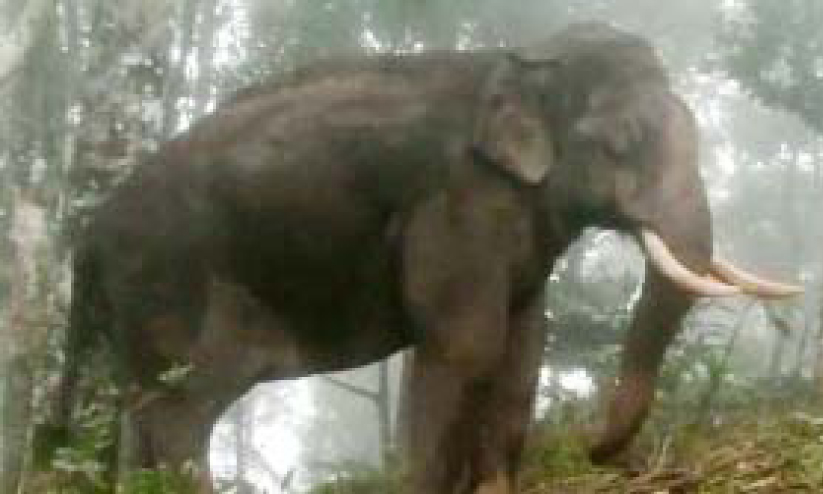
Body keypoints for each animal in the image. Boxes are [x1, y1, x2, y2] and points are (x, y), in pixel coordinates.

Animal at [56, 22, 799, 493]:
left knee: (141, 411)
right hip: (169, 286)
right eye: (620, 142)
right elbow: (466, 343)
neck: (517, 58)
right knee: (183, 412)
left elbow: (524, 341)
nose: (593, 448)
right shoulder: (456, 201)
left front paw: (496, 488)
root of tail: (86, 239)